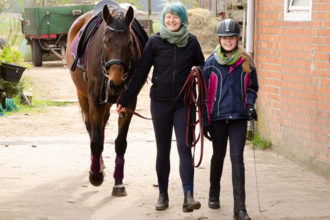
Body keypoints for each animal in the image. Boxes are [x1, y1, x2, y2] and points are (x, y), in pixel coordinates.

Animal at [66, 4, 142, 196]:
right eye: (106, 41)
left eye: (130, 42)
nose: (116, 84)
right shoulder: (93, 100)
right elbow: (96, 140)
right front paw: (95, 176)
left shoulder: (129, 103)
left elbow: (120, 143)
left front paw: (118, 182)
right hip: (83, 96)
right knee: (92, 129)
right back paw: (97, 166)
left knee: (101, 126)